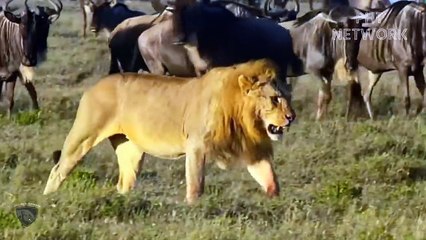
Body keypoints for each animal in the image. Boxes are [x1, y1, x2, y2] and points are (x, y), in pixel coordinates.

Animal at [43, 59, 296, 203]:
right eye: (275, 99)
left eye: (288, 96)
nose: (292, 117)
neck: (245, 118)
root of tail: (93, 86)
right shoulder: (196, 146)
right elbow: (196, 185)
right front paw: (194, 209)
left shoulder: (253, 150)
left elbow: (270, 180)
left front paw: (276, 204)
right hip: (83, 136)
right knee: (58, 170)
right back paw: (49, 201)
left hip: (130, 149)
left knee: (124, 182)